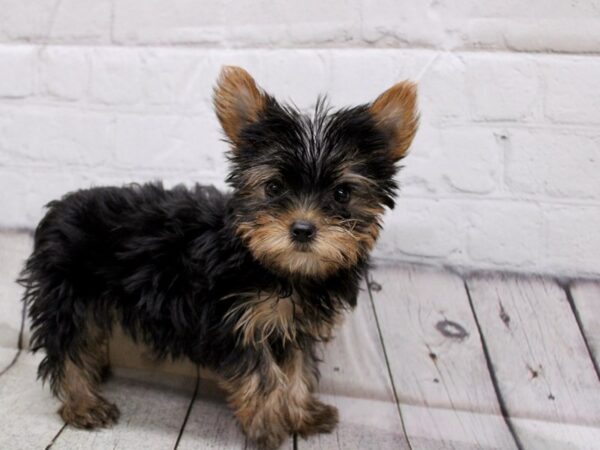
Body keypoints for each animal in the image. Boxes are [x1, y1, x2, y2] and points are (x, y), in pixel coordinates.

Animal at [19, 65, 418, 448]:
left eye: (341, 193)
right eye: (274, 187)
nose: (303, 229)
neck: (279, 268)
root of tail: (58, 209)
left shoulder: (292, 328)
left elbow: (297, 371)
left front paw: (302, 414)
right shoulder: (237, 324)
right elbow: (263, 376)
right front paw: (269, 426)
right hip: (69, 293)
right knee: (67, 345)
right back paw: (82, 402)